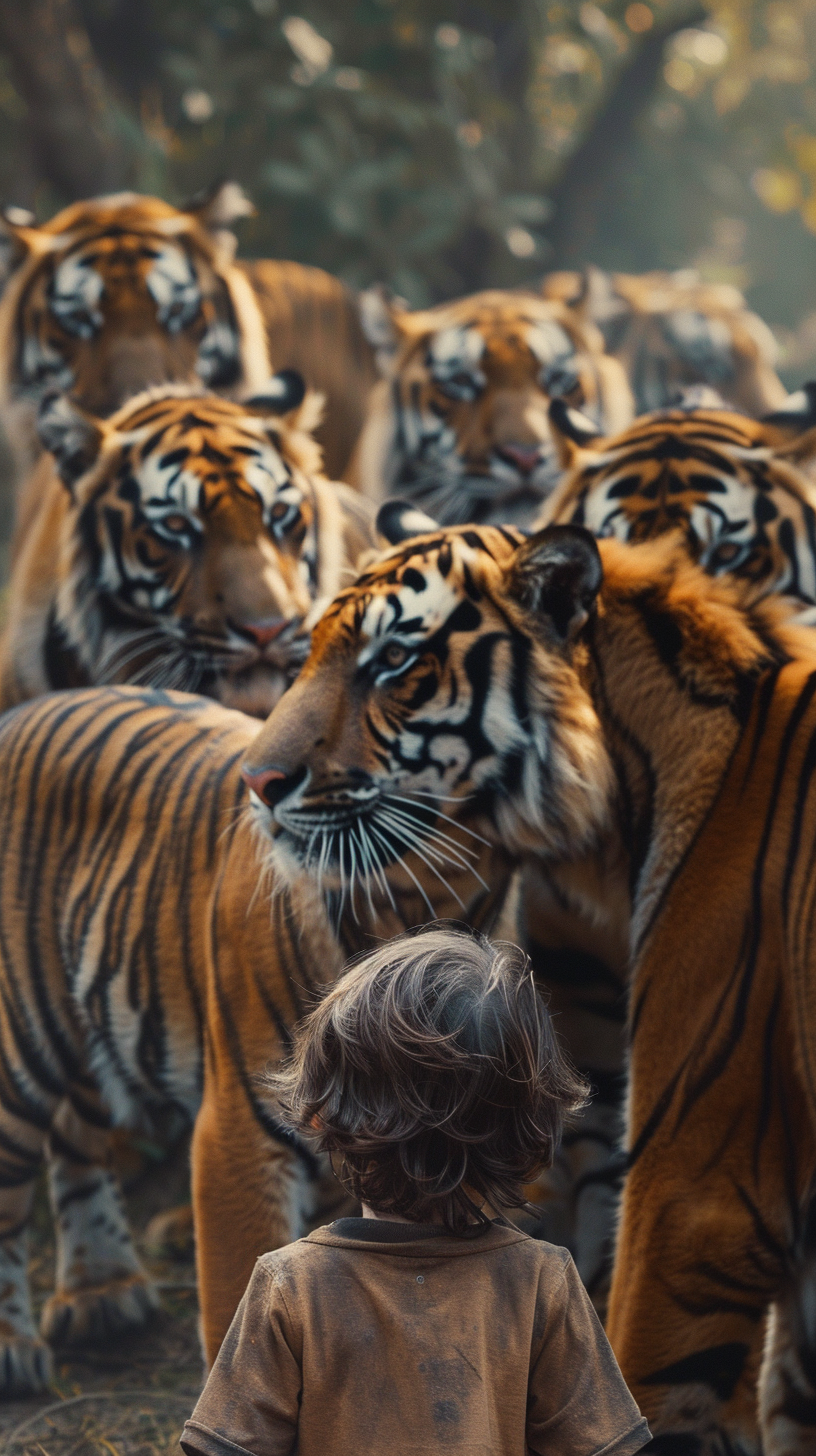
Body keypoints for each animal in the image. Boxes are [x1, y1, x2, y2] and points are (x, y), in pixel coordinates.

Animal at [1, 512, 816, 1456]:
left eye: (392, 661)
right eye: (311, 651)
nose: (257, 784)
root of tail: (33, 703)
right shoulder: (241, 1134)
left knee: (81, 1130)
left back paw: (101, 1292)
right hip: (24, 1045)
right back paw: (30, 1339)